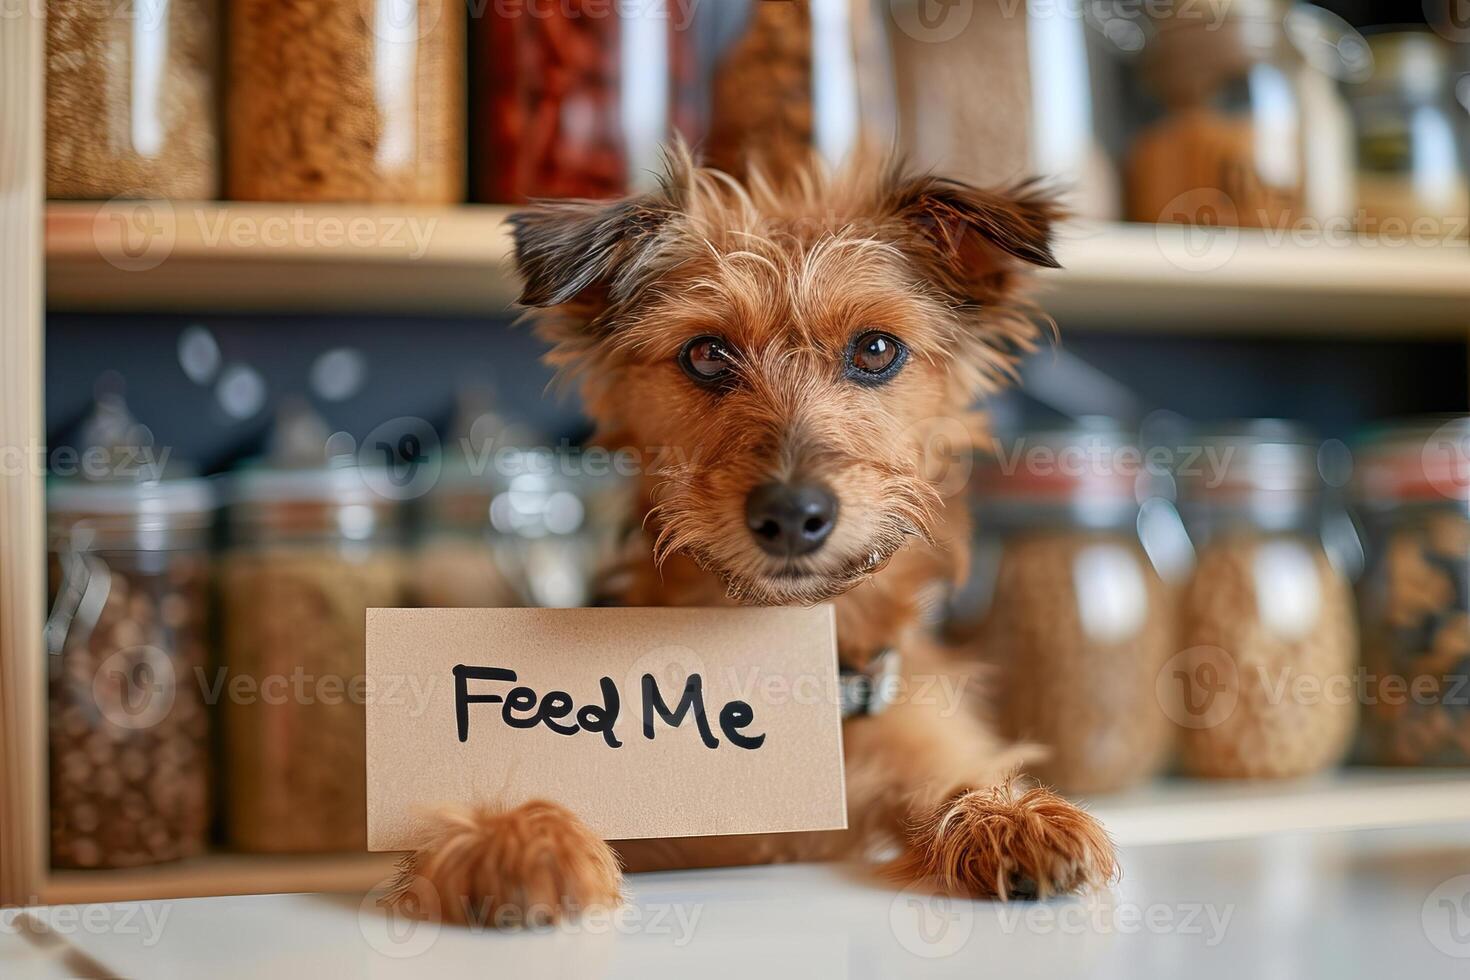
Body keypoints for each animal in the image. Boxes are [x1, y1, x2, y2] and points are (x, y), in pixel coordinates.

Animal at [396, 151, 1117, 928]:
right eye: (707, 355)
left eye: (876, 349)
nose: (792, 514)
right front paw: (515, 840)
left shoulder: (921, 750)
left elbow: (955, 781)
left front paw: (1008, 818)